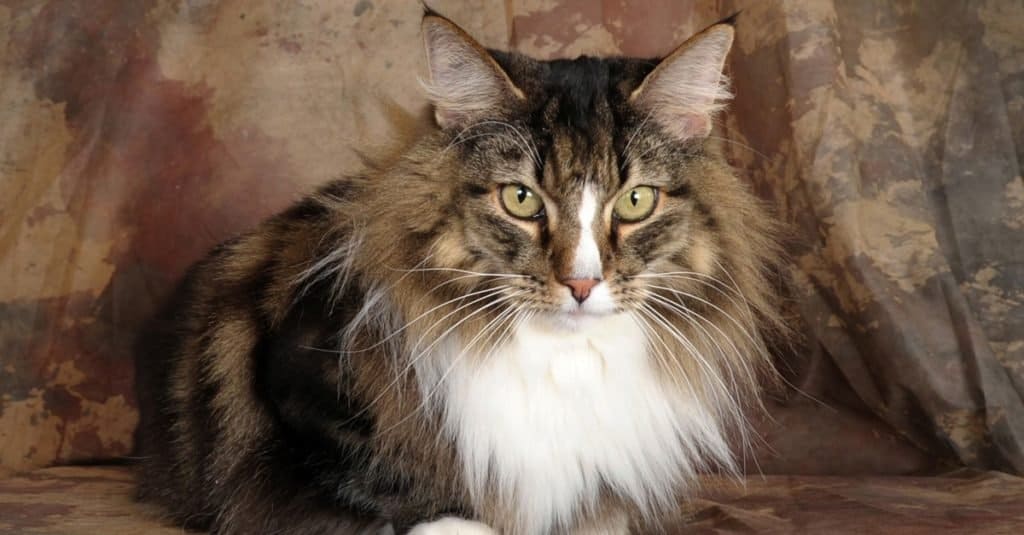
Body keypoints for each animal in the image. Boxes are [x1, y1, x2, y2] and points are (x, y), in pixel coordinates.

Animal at [130, 8, 782, 532]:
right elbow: (386, 485)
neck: (562, 360)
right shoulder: (294, 387)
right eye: (519, 199)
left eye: (636, 201)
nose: (581, 283)